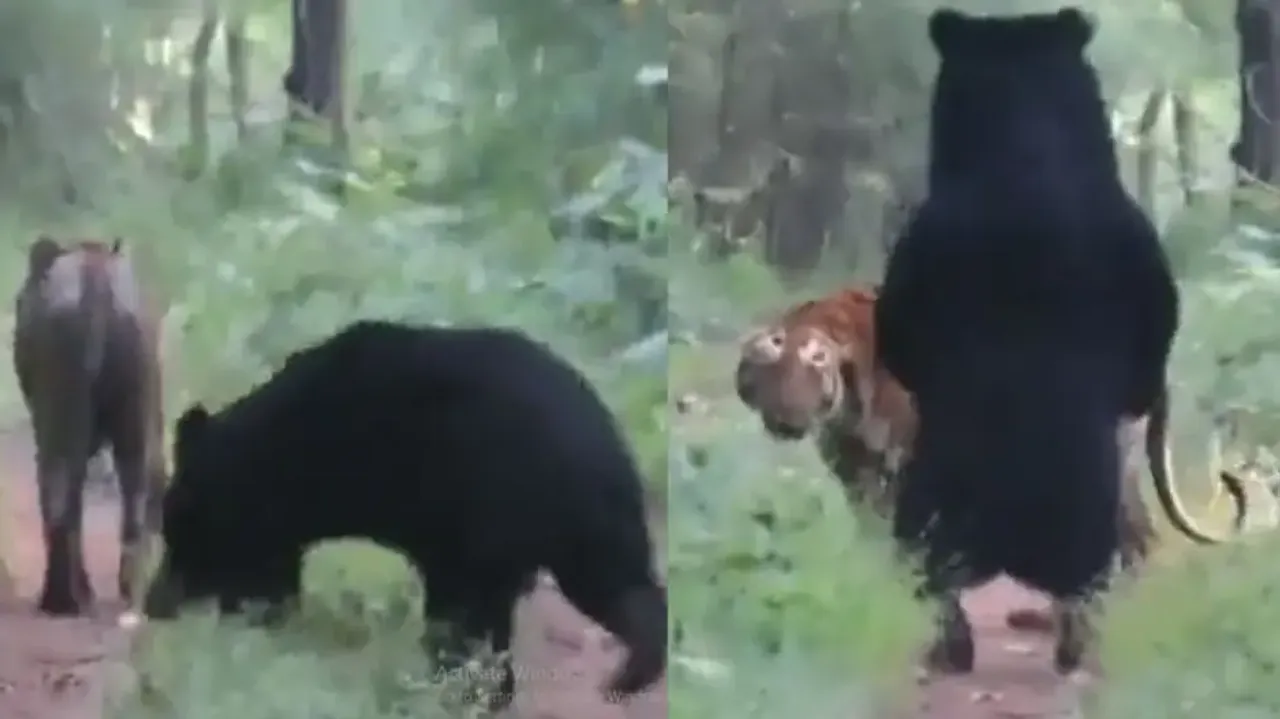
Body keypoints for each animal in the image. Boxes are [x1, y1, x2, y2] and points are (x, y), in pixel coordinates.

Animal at [142, 319, 667, 708]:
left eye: (180, 529)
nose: (153, 603)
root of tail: (607, 446)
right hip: (578, 522)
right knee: (612, 579)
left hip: (510, 508)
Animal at [734, 285, 1248, 630]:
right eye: (772, 373)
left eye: (812, 368)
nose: (784, 419)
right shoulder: (856, 471)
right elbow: (877, 536)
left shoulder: (910, 463)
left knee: (1136, 537)